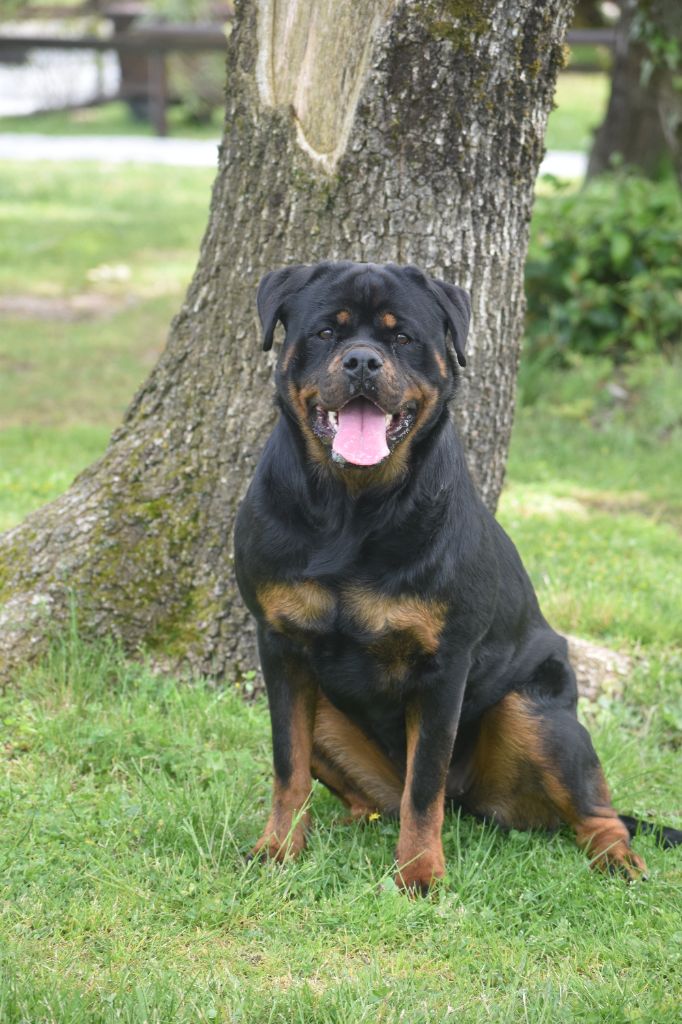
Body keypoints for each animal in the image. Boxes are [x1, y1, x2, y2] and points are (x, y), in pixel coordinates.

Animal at [232, 260, 675, 892]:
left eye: (402, 337)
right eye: (326, 332)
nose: (361, 361)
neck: (351, 507)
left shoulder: (444, 664)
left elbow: (425, 785)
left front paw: (419, 873)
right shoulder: (281, 648)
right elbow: (286, 764)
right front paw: (277, 849)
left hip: (537, 716)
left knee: (594, 811)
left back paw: (617, 859)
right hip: (331, 722)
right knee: (374, 801)